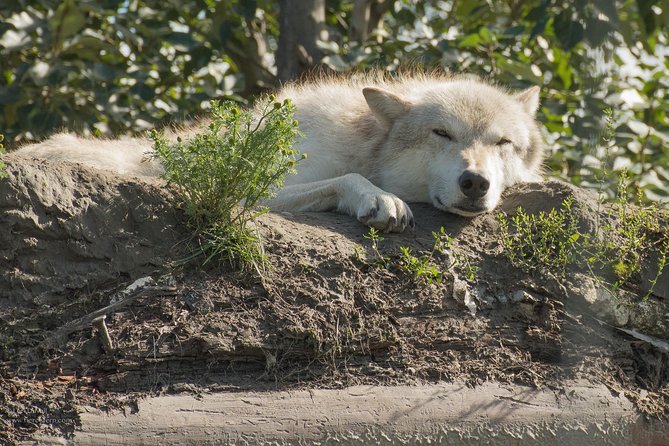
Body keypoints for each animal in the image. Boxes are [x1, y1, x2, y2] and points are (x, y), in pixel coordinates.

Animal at [15, 73, 544, 232]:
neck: (361, 143)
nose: (475, 182)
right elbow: (350, 182)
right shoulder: (249, 193)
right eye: (441, 134)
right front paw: (380, 200)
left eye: (503, 144)